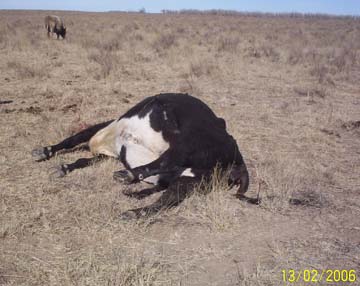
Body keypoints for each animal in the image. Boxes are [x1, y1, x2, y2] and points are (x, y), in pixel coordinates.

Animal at [33, 92, 253, 218]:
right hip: (189, 181)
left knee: (164, 162)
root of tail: (238, 160)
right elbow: (79, 155)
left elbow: (73, 139)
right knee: (165, 200)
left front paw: (48, 153)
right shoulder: (107, 151)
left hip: (189, 142)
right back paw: (135, 206)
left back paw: (127, 177)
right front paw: (58, 162)